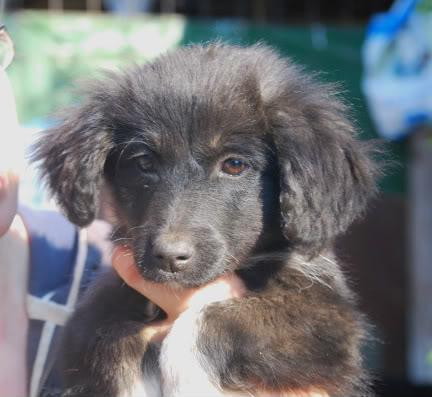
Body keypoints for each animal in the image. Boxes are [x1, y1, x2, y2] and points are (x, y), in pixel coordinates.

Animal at [33, 42, 378, 396]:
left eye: (235, 165)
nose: (169, 258)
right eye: (144, 162)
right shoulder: (91, 313)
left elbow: (208, 323)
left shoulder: (330, 320)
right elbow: (105, 340)